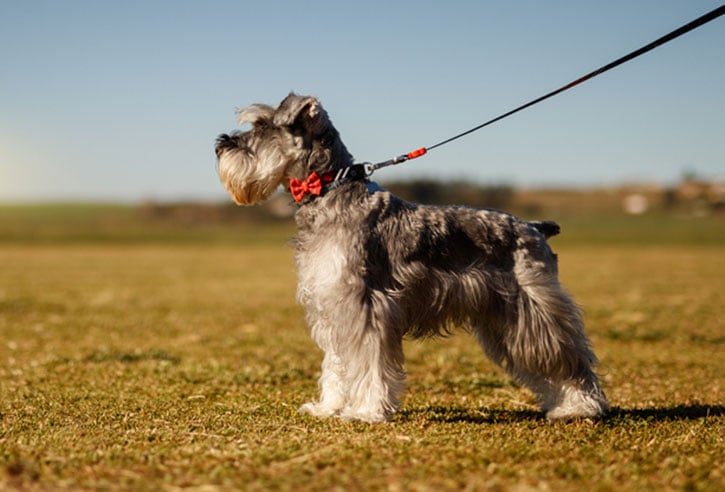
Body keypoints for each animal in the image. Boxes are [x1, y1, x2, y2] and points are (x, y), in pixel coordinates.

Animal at [214, 93, 604, 422]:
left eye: (263, 126)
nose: (220, 144)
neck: (328, 191)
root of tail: (535, 228)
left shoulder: (364, 307)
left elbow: (367, 363)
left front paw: (366, 411)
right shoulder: (332, 306)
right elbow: (337, 364)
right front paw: (329, 407)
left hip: (535, 315)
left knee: (573, 361)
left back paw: (580, 407)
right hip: (505, 321)